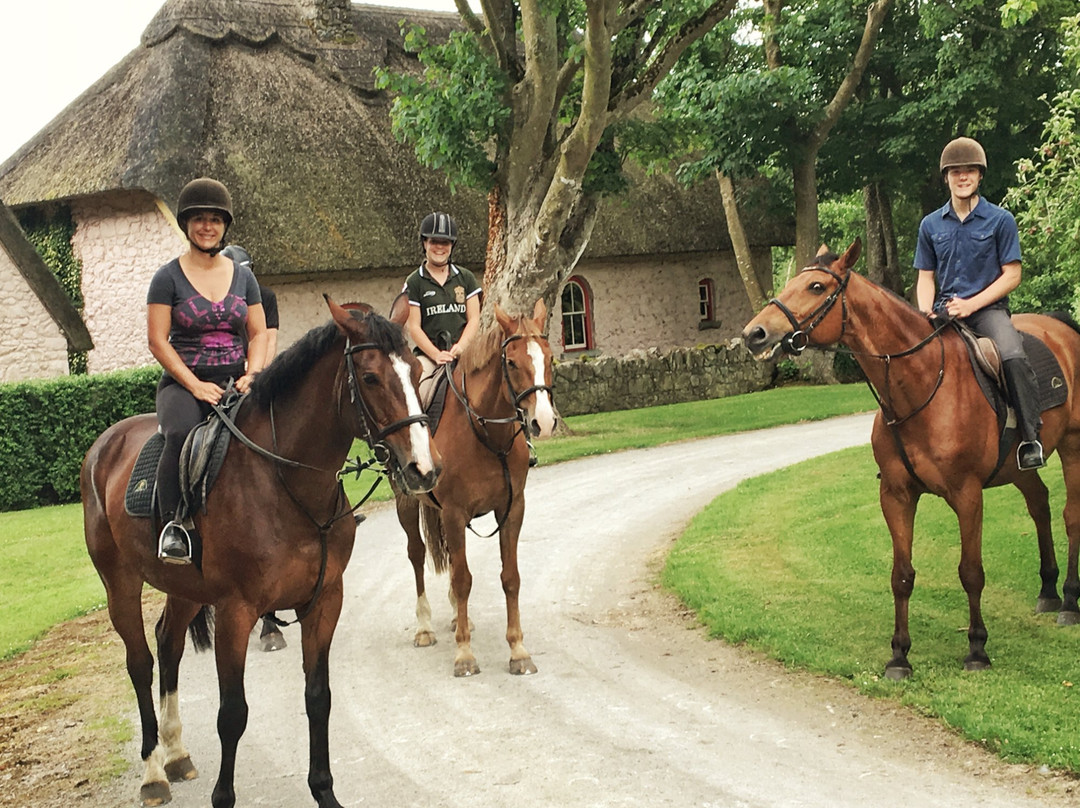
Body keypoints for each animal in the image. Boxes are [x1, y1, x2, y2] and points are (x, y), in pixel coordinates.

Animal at [78, 298, 442, 808]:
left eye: (416, 369)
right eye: (370, 377)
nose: (424, 470)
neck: (285, 484)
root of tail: (104, 444)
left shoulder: (324, 602)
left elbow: (318, 697)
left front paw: (324, 791)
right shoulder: (236, 611)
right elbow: (232, 713)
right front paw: (222, 797)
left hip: (185, 589)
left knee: (168, 644)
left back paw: (176, 753)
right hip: (121, 584)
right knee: (141, 662)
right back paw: (153, 771)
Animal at [390, 295, 557, 674]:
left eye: (551, 357)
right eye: (511, 362)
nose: (543, 421)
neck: (487, 434)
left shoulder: (511, 509)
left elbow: (510, 577)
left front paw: (518, 649)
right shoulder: (453, 512)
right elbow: (463, 579)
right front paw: (464, 652)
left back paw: (456, 617)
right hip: (407, 503)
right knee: (417, 554)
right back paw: (425, 627)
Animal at [738, 241, 1080, 682]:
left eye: (816, 286)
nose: (754, 333)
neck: (920, 384)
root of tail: (1061, 329)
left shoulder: (968, 495)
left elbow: (971, 572)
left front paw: (977, 649)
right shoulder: (896, 494)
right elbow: (901, 576)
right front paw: (899, 655)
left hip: (1073, 447)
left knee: (1071, 517)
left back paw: (1069, 601)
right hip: (1018, 466)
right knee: (1039, 503)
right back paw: (1048, 591)